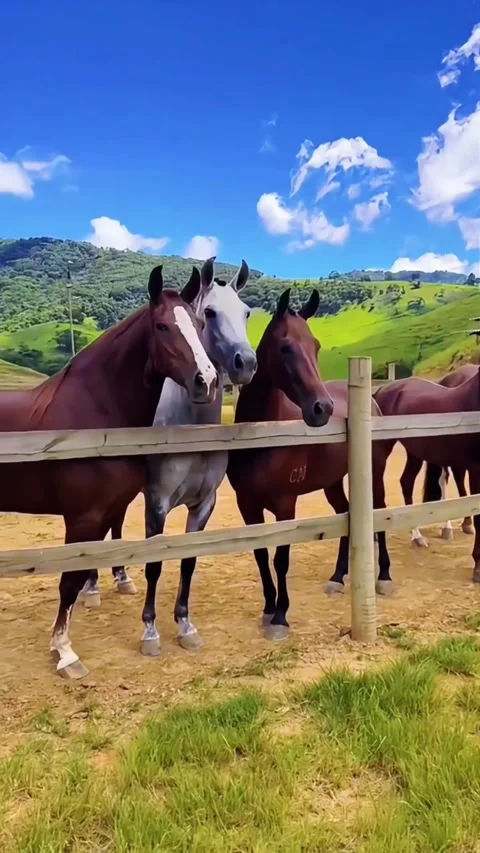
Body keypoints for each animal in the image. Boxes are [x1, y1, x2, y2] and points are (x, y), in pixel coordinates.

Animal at [0, 264, 217, 679]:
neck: (96, 414)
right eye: (162, 326)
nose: (207, 381)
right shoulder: (83, 517)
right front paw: (65, 653)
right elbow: (68, 583)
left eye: (199, 324)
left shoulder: (107, 511)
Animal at [80, 257, 258, 655]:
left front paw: (186, 625)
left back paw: (120, 578)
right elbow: (155, 565)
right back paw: (92, 586)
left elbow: (187, 562)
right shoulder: (158, 503)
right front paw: (150, 631)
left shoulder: (204, 504)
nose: (246, 363)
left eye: (246, 312)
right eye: (209, 313)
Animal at [227, 289, 393, 640]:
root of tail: (372, 401)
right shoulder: (247, 504)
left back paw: (384, 576)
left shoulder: (284, 504)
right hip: (332, 482)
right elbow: (261, 554)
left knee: (382, 511)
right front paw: (268, 607)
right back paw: (337, 577)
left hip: (375, 474)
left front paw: (280, 618)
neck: (265, 436)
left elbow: (281, 558)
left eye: (315, 346)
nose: (322, 408)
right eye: (286, 347)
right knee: (344, 512)